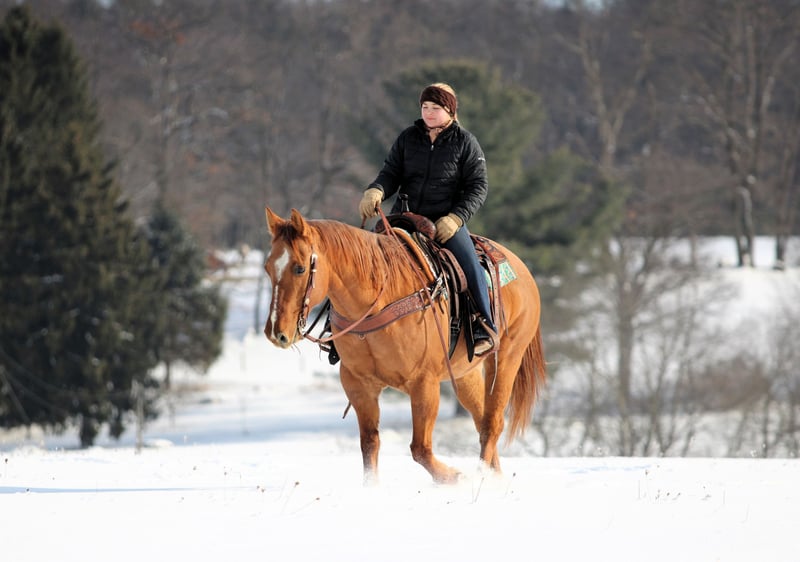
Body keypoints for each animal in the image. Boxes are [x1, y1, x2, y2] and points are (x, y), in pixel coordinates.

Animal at [263, 207, 546, 484]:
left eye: (300, 268)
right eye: (267, 267)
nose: (276, 332)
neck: (376, 302)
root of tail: (522, 269)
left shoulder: (424, 383)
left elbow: (420, 448)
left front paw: (454, 477)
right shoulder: (358, 384)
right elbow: (370, 445)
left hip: (507, 359)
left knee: (492, 423)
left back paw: (481, 477)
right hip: (466, 373)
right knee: (481, 420)